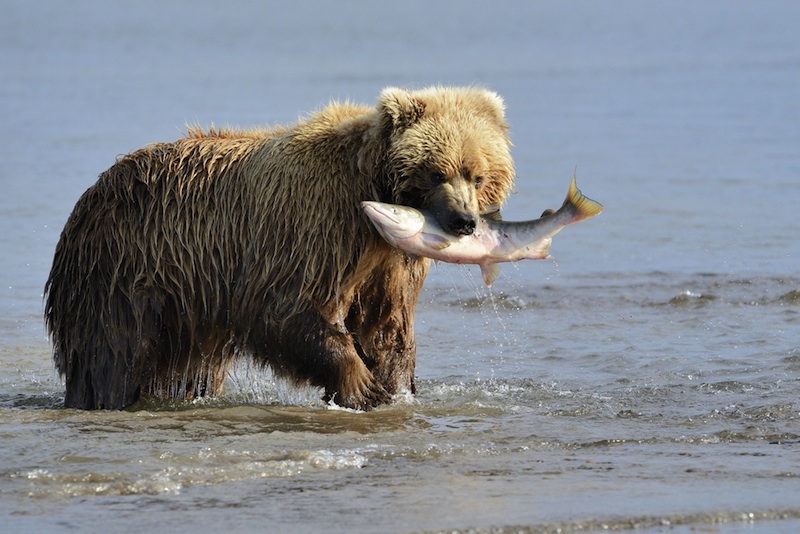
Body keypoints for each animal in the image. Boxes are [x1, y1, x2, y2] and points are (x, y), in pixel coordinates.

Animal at [43, 86, 516, 410]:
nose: (464, 221)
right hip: (123, 271)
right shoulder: (311, 227)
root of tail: (89, 196)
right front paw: (359, 383)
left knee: (188, 368)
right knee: (112, 352)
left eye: (477, 175)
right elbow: (283, 306)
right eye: (437, 172)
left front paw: (393, 386)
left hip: (184, 303)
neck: (371, 194)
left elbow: (386, 324)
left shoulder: (387, 262)